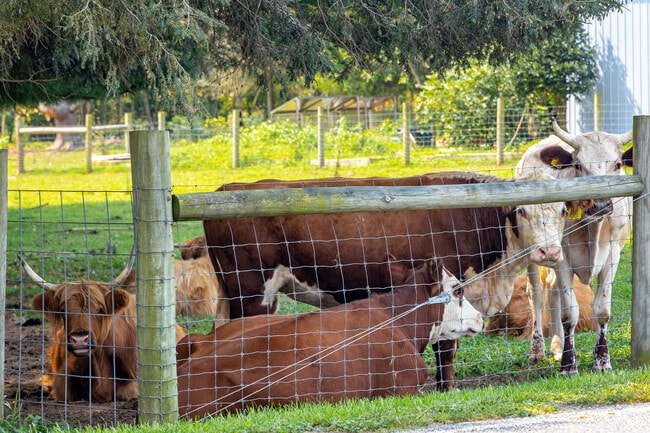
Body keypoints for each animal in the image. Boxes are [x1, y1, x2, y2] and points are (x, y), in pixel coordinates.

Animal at [202, 170, 570, 391]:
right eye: (522, 210)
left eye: (563, 211)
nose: (550, 252)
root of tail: (228, 189)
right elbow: (446, 348)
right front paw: (446, 388)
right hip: (251, 291)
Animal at [514, 117, 633, 374]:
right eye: (578, 165)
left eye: (618, 164)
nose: (600, 204)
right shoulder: (563, 259)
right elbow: (570, 313)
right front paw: (569, 365)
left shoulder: (613, 256)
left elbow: (602, 310)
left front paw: (602, 360)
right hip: (535, 253)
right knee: (537, 294)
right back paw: (538, 349)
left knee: (554, 292)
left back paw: (558, 346)